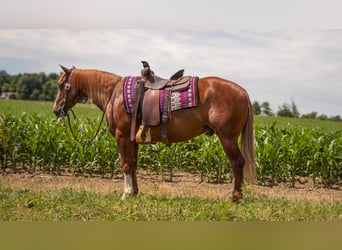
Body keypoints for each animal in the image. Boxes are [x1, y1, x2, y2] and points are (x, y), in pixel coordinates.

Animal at [53, 64, 255, 201]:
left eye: (62, 85)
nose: (56, 110)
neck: (114, 94)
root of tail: (243, 92)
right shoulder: (132, 140)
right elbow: (133, 164)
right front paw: (134, 193)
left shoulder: (122, 136)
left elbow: (125, 164)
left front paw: (126, 194)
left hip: (227, 138)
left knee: (237, 163)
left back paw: (235, 196)